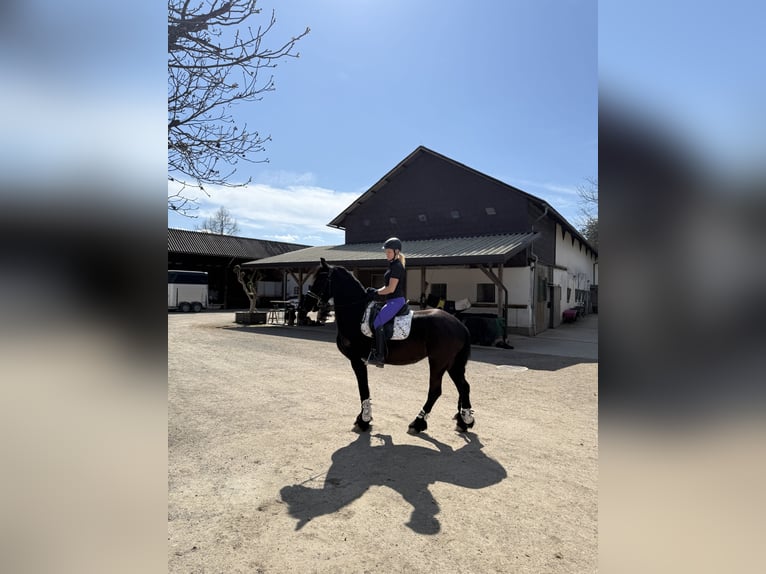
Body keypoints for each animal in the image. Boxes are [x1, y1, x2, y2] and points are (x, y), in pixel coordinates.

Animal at [301, 258, 475, 433]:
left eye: (321, 279)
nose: (305, 305)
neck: (356, 313)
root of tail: (459, 325)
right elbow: (363, 388)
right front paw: (363, 417)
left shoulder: (357, 360)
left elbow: (363, 387)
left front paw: (364, 420)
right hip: (452, 364)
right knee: (463, 387)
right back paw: (464, 421)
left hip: (438, 362)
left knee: (436, 390)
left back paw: (418, 422)